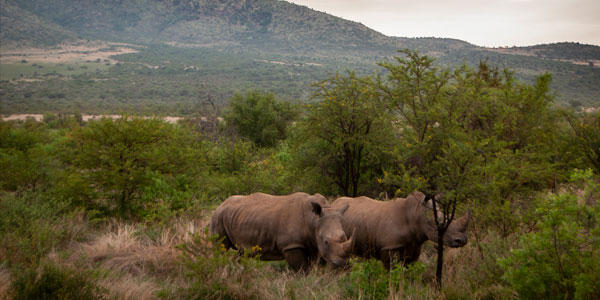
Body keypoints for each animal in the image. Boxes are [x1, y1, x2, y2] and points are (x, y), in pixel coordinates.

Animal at [210, 192, 354, 272]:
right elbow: (301, 271)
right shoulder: (292, 246)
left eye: (345, 238)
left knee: (242, 252)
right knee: (220, 248)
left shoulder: (314, 244)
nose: (343, 265)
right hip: (218, 217)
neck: (313, 221)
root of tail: (220, 205)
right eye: (326, 241)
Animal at [332, 192, 468, 270]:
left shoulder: (415, 245)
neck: (416, 214)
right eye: (437, 223)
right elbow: (391, 272)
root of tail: (334, 203)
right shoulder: (389, 247)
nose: (462, 240)